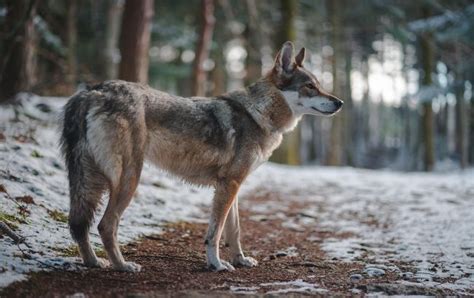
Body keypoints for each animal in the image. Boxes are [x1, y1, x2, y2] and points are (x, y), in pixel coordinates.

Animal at [61, 42, 342, 272]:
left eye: (319, 85)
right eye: (310, 87)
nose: (339, 102)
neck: (259, 114)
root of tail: (91, 90)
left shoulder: (233, 186)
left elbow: (234, 231)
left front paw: (240, 260)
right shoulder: (229, 185)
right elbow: (215, 233)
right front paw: (216, 264)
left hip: (91, 180)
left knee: (79, 225)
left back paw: (94, 262)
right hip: (128, 179)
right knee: (105, 225)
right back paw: (123, 266)